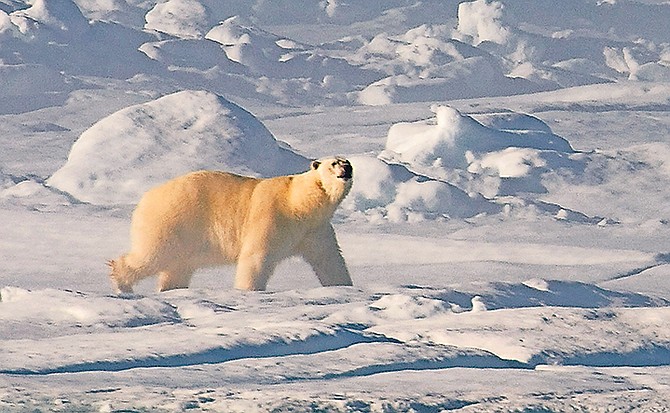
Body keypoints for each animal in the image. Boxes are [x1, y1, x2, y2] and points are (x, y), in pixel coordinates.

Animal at [107, 156, 354, 292]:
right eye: (334, 163)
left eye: (348, 161)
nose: (347, 168)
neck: (299, 203)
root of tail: (146, 198)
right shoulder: (271, 217)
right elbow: (256, 257)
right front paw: (248, 291)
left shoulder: (315, 229)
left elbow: (329, 259)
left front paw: (344, 288)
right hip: (172, 221)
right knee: (153, 255)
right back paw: (122, 283)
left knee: (177, 267)